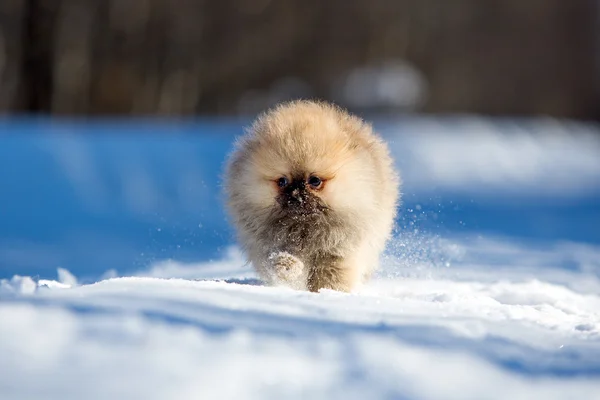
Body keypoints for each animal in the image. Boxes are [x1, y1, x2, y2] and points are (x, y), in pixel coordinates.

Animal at [223, 99, 400, 292]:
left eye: (314, 180)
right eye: (282, 181)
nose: (296, 195)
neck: (304, 227)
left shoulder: (337, 249)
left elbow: (331, 273)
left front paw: (327, 291)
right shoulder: (267, 242)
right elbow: (278, 258)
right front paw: (287, 265)